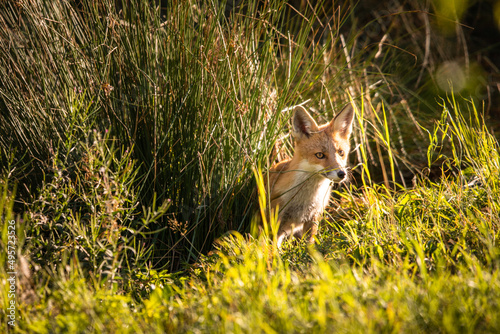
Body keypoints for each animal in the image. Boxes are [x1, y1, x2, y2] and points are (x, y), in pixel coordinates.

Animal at [266, 103, 356, 247]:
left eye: (341, 152)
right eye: (320, 155)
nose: (342, 174)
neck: (305, 199)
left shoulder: (313, 217)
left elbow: (309, 245)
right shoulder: (277, 219)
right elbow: (273, 247)